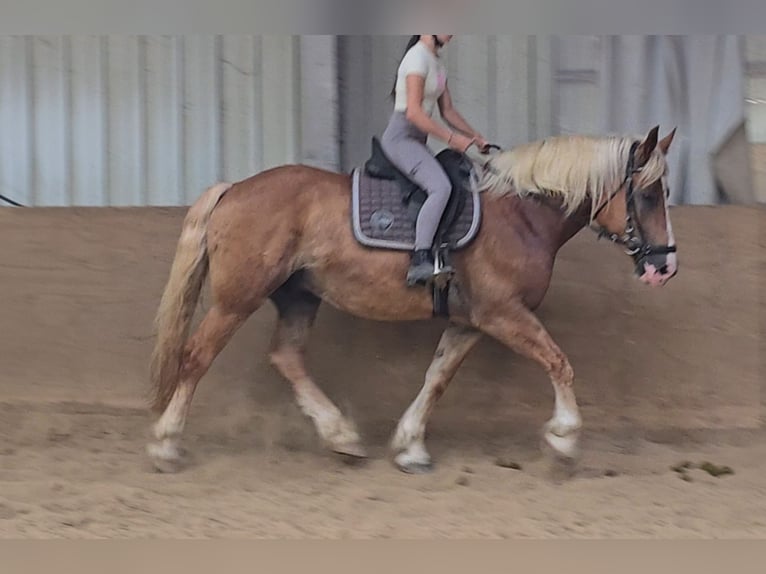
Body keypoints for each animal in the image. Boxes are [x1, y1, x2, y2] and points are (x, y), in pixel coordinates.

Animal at [147, 126, 680, 476]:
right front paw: (564, 438)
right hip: (237, 300)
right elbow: (559, 362)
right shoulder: (503, 314)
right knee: (196, 357)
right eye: (649, 194)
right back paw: (166, 445)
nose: (664, 266)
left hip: (298, 295)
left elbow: (436, 378)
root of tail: (234, 189)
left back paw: (341, 437)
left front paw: (409, 448)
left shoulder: (472, 321)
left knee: (287, 356)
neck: (522, 214)